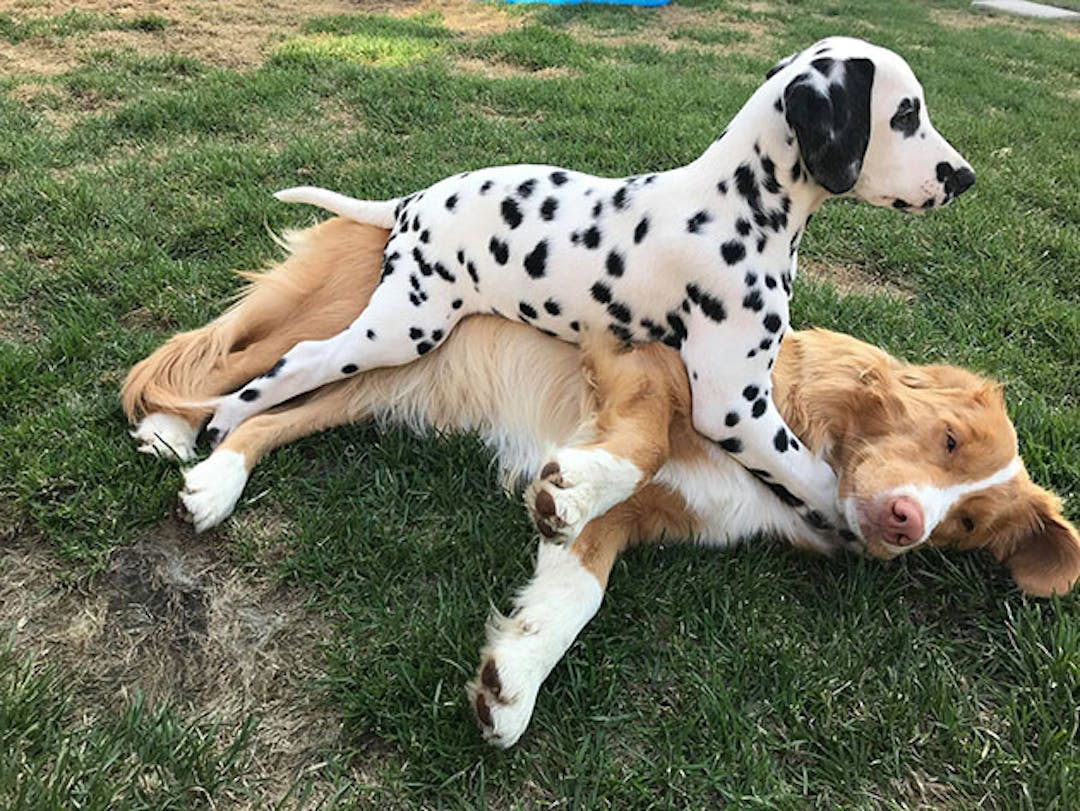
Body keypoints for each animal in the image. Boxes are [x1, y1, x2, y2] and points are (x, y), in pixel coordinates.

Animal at [122, 217, 1080, 747]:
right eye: (947, 438)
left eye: (968, 525)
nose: (907, 521)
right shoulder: (640, 356)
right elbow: (641, 445)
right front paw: (576, 481)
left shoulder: (639, 523)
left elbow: (576, 591)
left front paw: (514, 680)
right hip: (345, 326)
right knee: (223, 359)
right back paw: (170, 427)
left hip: (377, 379)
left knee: (263, 414)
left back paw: (216, 480)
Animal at [204, 34, 980, 535]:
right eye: (906, 113)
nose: (966, 178)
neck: (739, 205)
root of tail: (413, 199)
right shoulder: (734, 405)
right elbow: (811, 472)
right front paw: (845, 516)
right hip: (405, 325)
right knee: (299, 358)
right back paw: (219, 426)